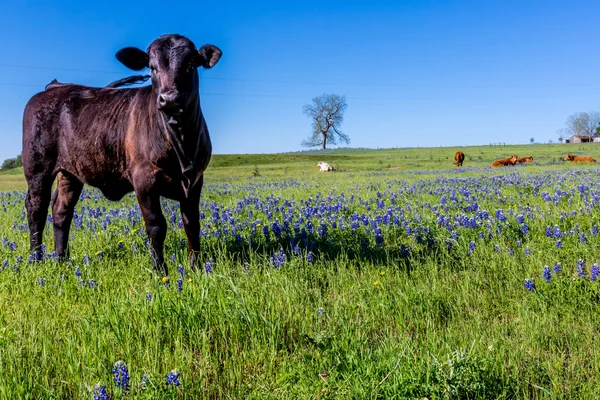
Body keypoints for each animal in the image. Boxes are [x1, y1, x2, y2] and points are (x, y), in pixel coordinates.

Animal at [21, 34, 224, 276]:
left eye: (191, 65)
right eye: (152, 67)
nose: (169, 99)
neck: (182, 143)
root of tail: (55, 86)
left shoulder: (195, 181)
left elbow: (192, 223)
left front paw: (196, 267)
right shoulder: (144, 180)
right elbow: (156, 225)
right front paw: (160, 270)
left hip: (70, 173)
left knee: (61, 210)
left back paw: (63, 259)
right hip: (37, 169)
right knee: (36, 209)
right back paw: (35, 259)